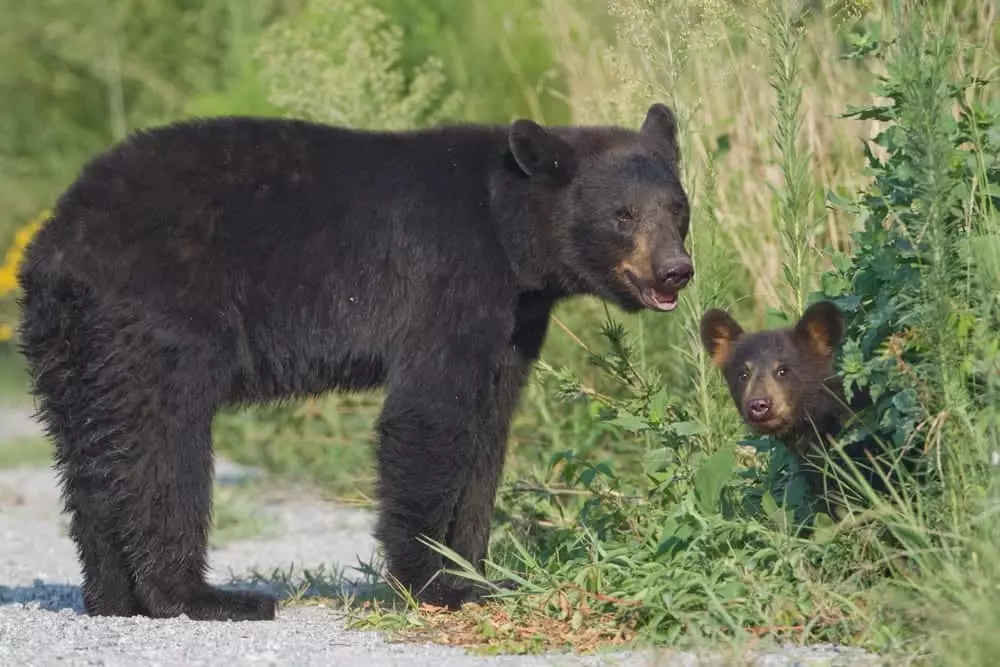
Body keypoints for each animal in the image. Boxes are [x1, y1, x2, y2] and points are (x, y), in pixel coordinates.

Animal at [16, 103, 694, 621]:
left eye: (677, 208)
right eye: (623, 215)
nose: (675, 270)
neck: (508, 233)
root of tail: (57, 243)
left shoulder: (513, 323)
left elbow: (488, 434)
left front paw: (476, 574)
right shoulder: (447, 280)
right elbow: (428, 418)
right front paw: (432, 582)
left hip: (72, 349)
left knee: (91, 456)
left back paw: (112, 596)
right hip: (161, 320)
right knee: (164, 447)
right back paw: (204, 597)